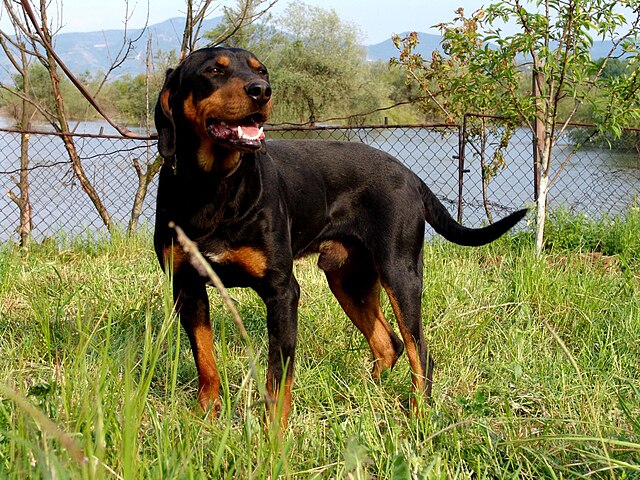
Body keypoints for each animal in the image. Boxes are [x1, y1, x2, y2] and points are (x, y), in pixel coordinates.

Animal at [154, 47, 524, 426]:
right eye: (214, 70)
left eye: (262, 71)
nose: (262, 91)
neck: (212, 187)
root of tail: (409, 174)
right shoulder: (187, 286)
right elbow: (205, 358)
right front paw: (205, 413)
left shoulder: (281, 291)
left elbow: (278, 377)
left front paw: (273, 433)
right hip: (348, 280)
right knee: (389, 343)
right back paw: (367, 394)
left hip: (400, 274)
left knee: (419, 351)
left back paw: (418, 414)